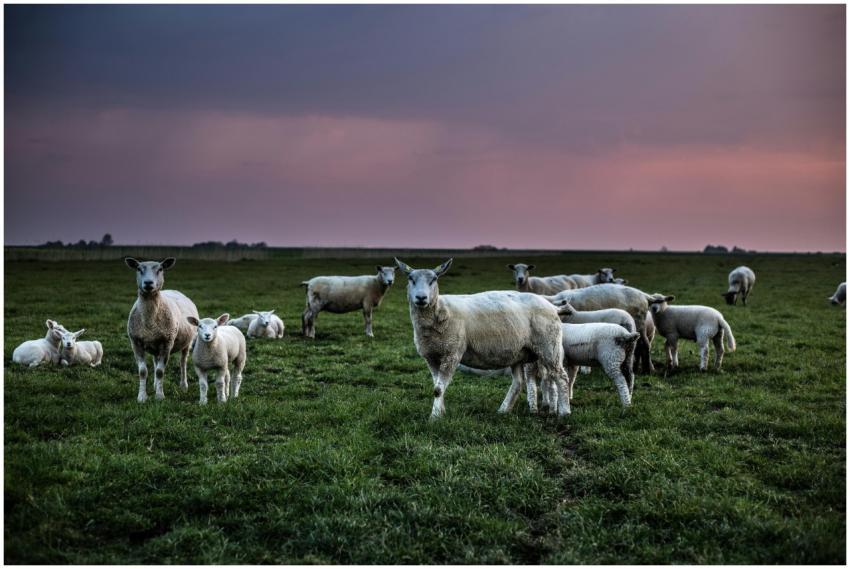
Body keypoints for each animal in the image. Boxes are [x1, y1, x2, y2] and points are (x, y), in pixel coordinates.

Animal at [125, 257, 199, 402]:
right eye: (138, 269)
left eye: (160, 269)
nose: (148, 283)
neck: (149, 322)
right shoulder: (135, 343)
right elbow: (142, 371)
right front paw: (142, 397)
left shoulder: (167, 343)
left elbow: (160, 371)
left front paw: (159, 396)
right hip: (155, 343)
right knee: (155, 361)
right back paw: (154, 385)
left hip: (186, 343)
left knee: (183, 363)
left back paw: (183, 385)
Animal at [396, 258, 572, 419]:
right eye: (410, 279)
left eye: (433, 280)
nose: (421, 298)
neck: (439, 310)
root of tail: (552, 306)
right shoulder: (431, 356)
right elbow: (437, 386)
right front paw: (441, 412)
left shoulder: (452, 353)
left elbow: (438, 389)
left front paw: (435, 417)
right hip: (518, 352)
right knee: (518, 382)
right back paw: (503, 410)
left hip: (549, 345)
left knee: (561, 376)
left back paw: (564, 413)